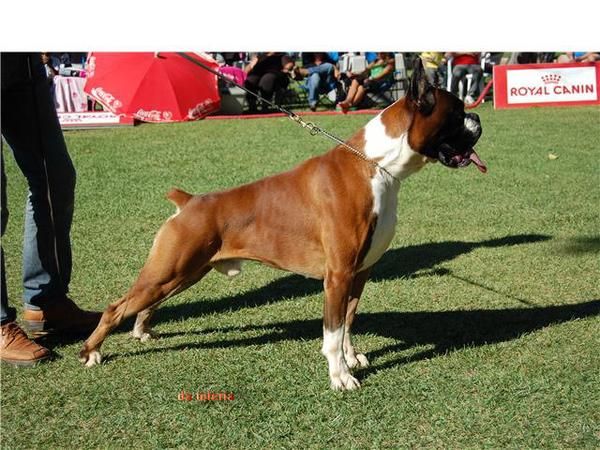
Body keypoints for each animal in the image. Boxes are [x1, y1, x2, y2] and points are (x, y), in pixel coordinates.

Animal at [79, 59, 486, 390]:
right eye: (457, 112)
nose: (478, 119)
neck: (376, 165)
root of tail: (189, 200)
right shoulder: (337, 276)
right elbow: (332, 333)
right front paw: (340, 376)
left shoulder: (359, 273)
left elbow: (349, 322)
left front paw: (351, 358)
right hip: (169, 270)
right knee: (115, 308)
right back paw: (91, 352)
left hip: (182, 273)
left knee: (145, 304)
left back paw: (141, 331)